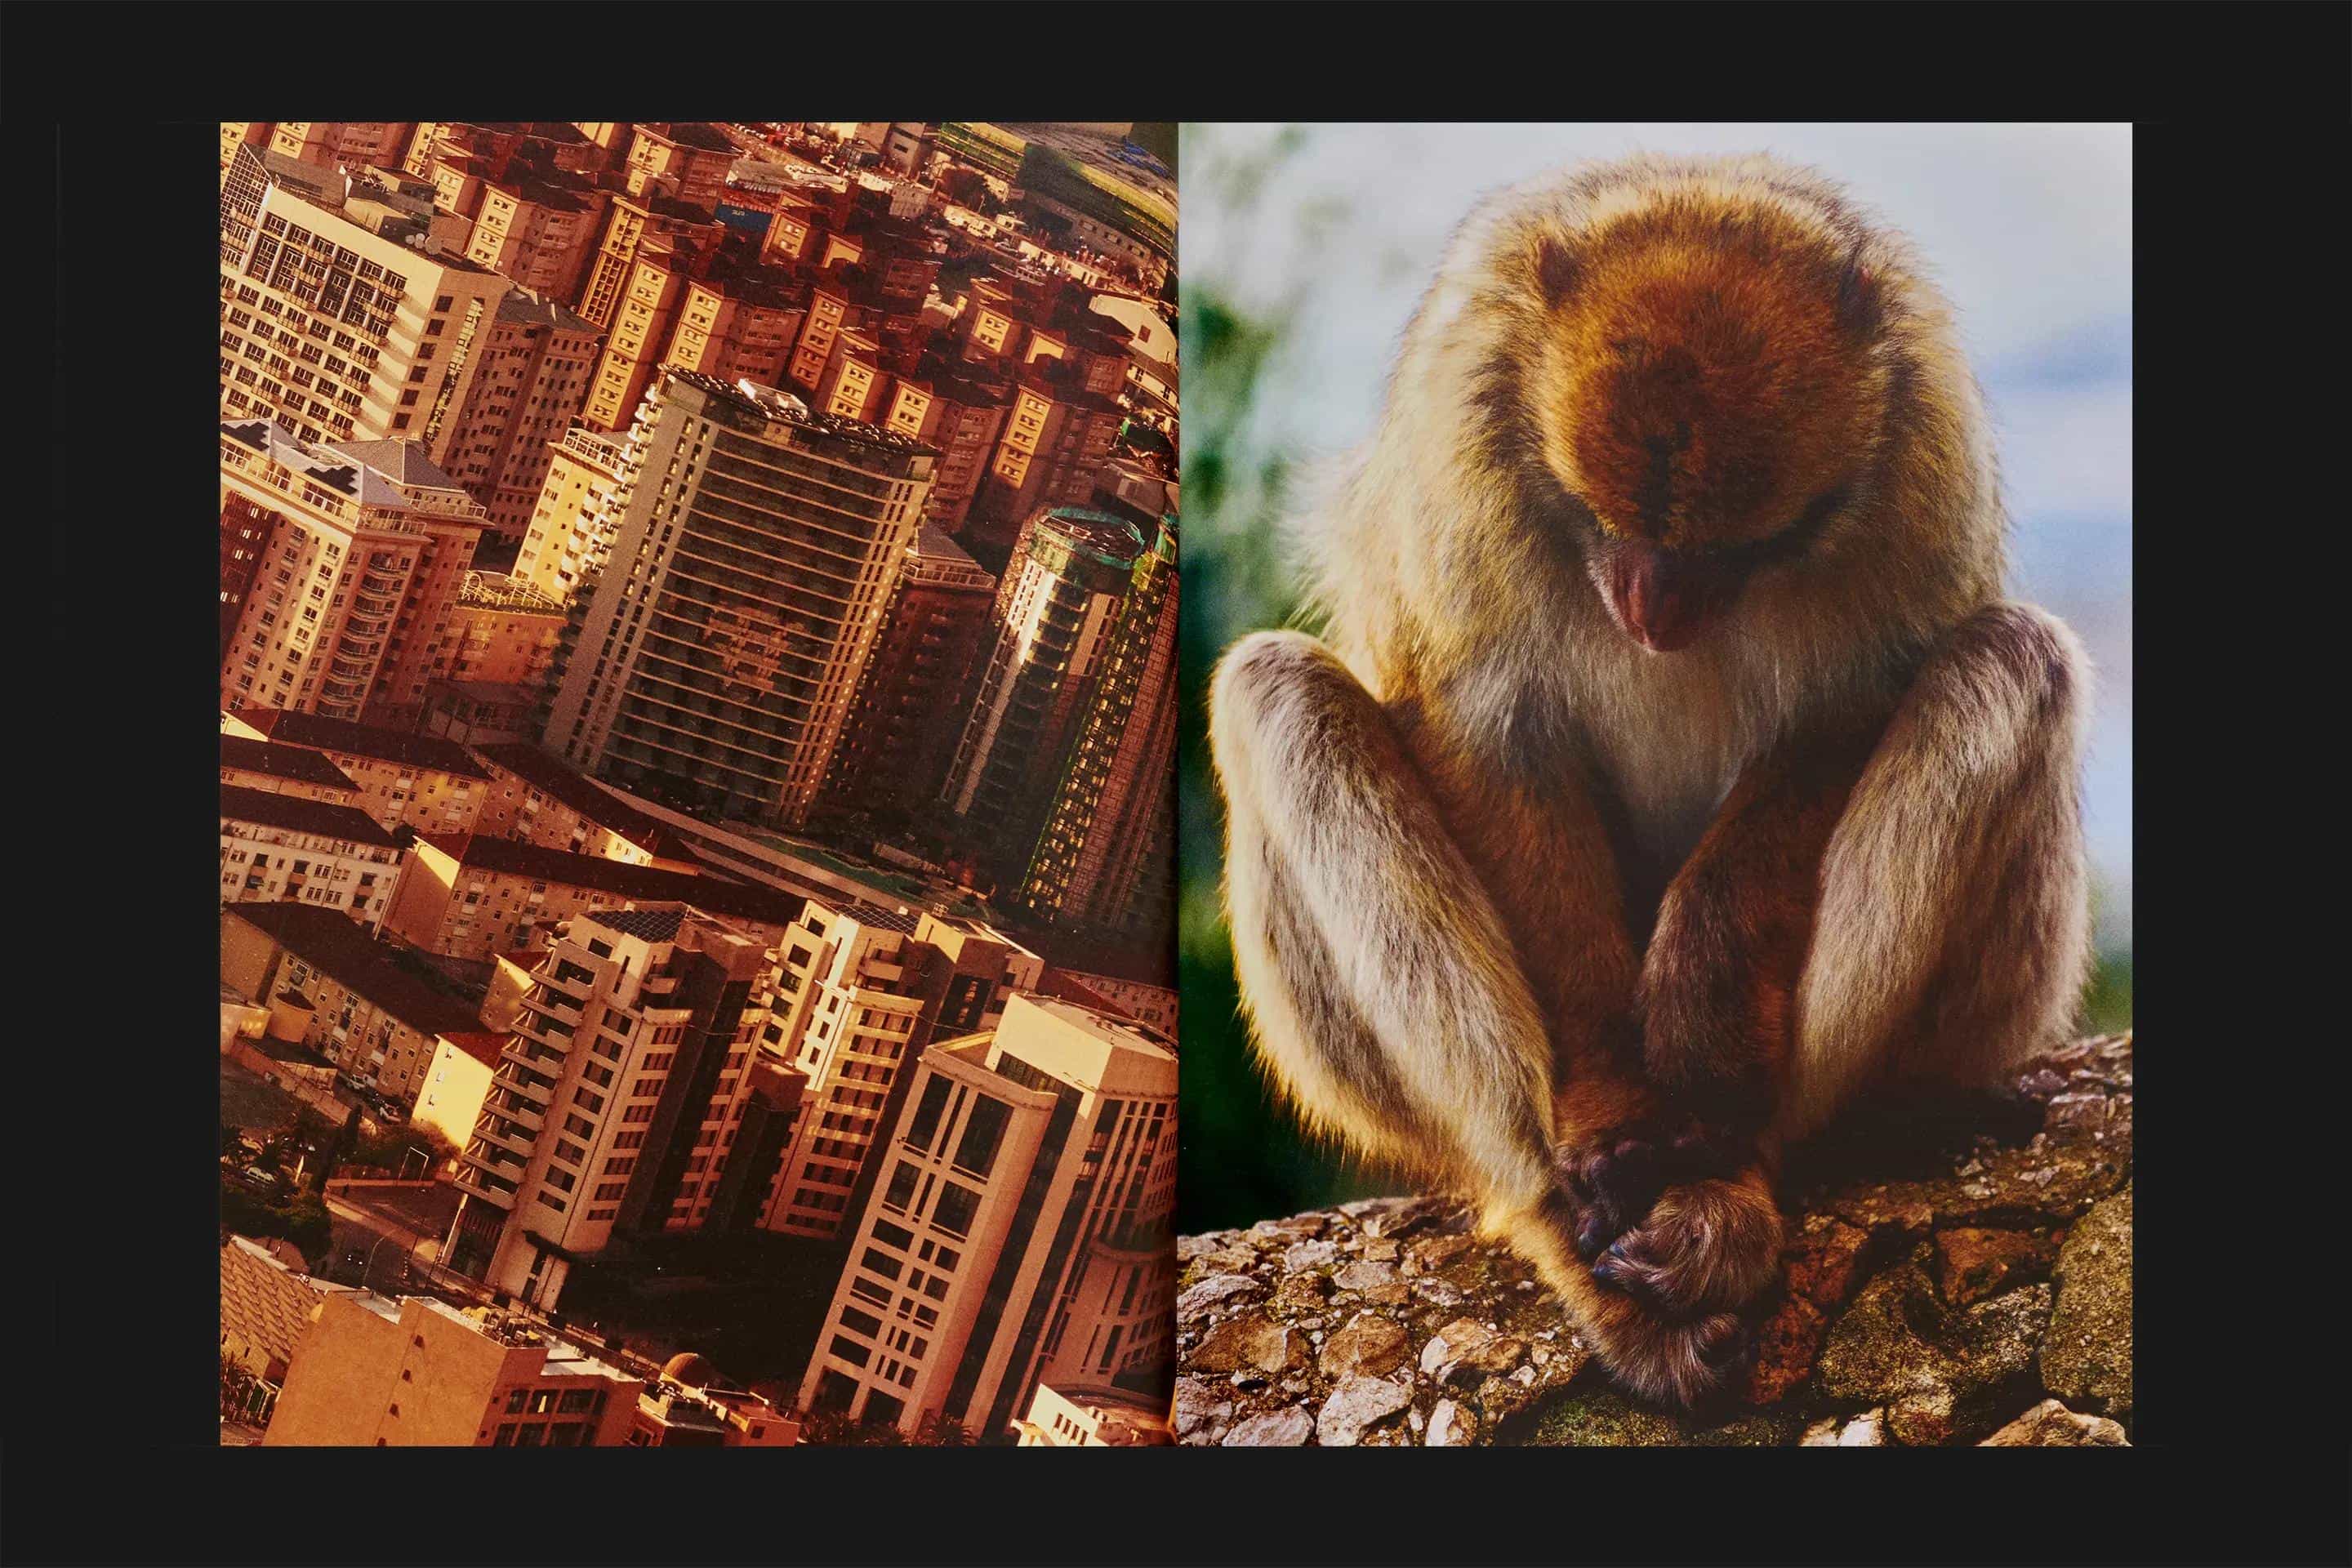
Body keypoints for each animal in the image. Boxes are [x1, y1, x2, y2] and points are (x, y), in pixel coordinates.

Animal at [1209, 152, 2091, 1412]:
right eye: (1609, 519)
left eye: (1742, 548)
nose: (1654, 606)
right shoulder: (1460, 439)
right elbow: (1488, 732)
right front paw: (1609, 1098)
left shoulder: (1922, 453)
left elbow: (1845, 715)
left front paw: (1700, 1011)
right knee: (1274, 692)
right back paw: (1567, 1221)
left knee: (2010, 661)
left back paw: (1726, 1165)